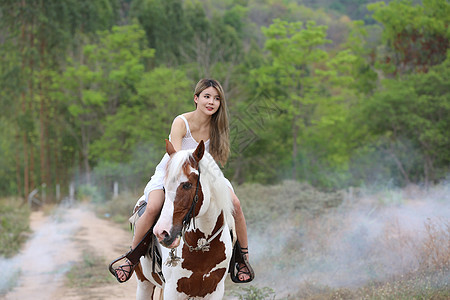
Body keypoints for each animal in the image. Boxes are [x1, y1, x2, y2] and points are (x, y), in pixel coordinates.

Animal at [135, 141, 236, 300]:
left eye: (187, 185)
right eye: (164, 187)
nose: (161, 232)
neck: (201, 244)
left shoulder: (215, 290)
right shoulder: (173, 291)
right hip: (144, 284)